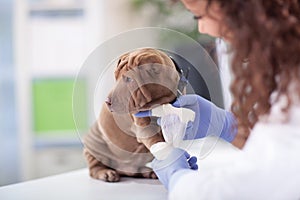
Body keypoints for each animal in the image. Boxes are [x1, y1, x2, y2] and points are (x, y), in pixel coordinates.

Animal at [82, 47, 185, 182]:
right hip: (93, 146)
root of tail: (123, 169)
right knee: (94, 166)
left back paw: (149, 172)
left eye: (129, 79)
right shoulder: (144, 128)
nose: (107, 102)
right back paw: (106, 173)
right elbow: (157, 141)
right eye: (115, 76)